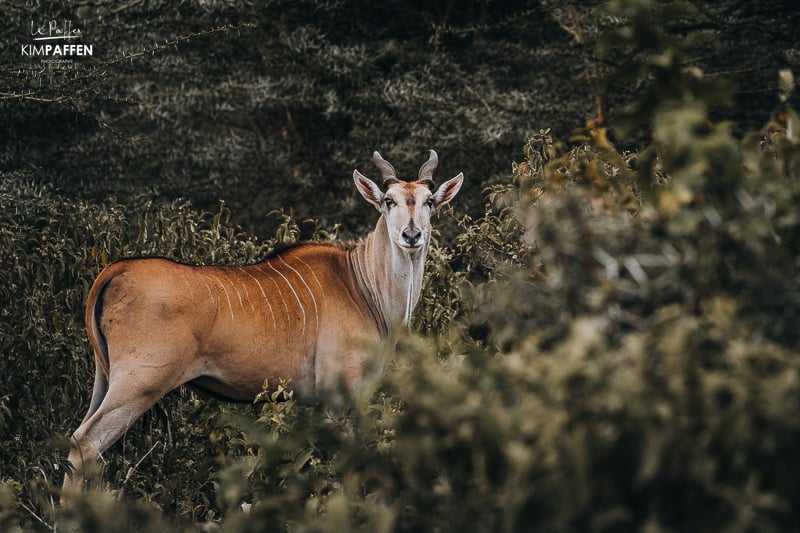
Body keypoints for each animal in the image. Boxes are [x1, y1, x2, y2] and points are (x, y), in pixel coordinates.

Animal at [62, 151, 462, 498]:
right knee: (85, 443)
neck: (362, 284)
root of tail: (115, 271)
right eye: (389, 201)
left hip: (105, 378)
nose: (411, 236)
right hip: (139, 383)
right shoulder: (339, 391)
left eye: (429, 201)